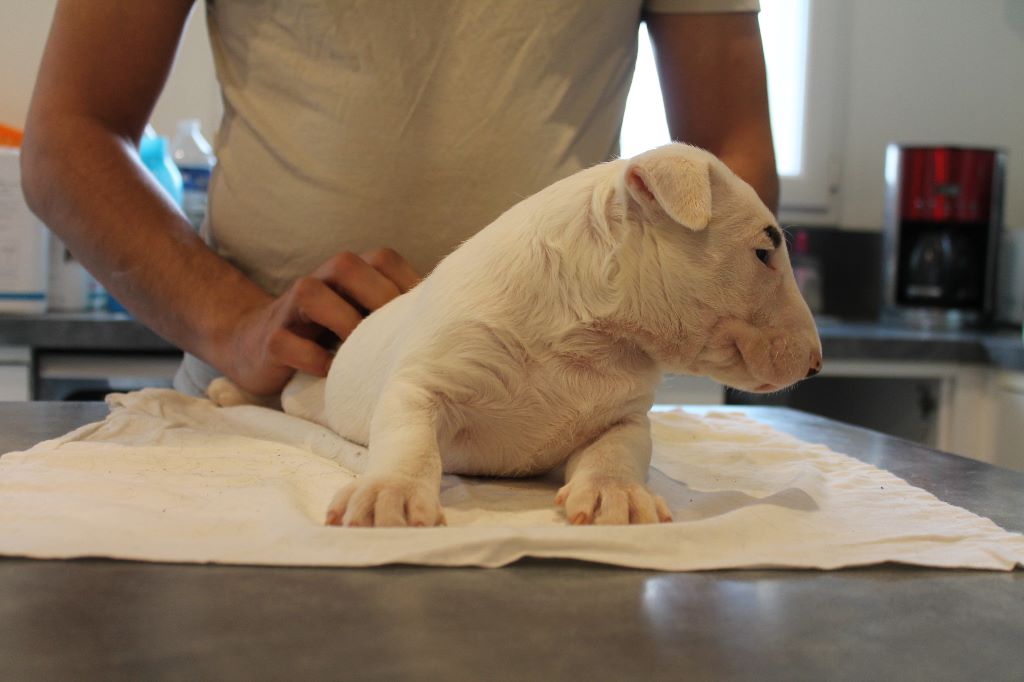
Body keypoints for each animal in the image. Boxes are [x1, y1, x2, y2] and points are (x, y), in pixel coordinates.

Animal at [209, 143, 822, 528]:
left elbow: (620, 449)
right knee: (287, 391)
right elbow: (409, 438)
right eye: (765, 251)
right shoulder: (423, 381)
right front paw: (390, 493)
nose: (816, 365)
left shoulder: (624, 415)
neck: (588, 337)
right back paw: (230, 392)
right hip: (317, 390)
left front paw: (615, 494)